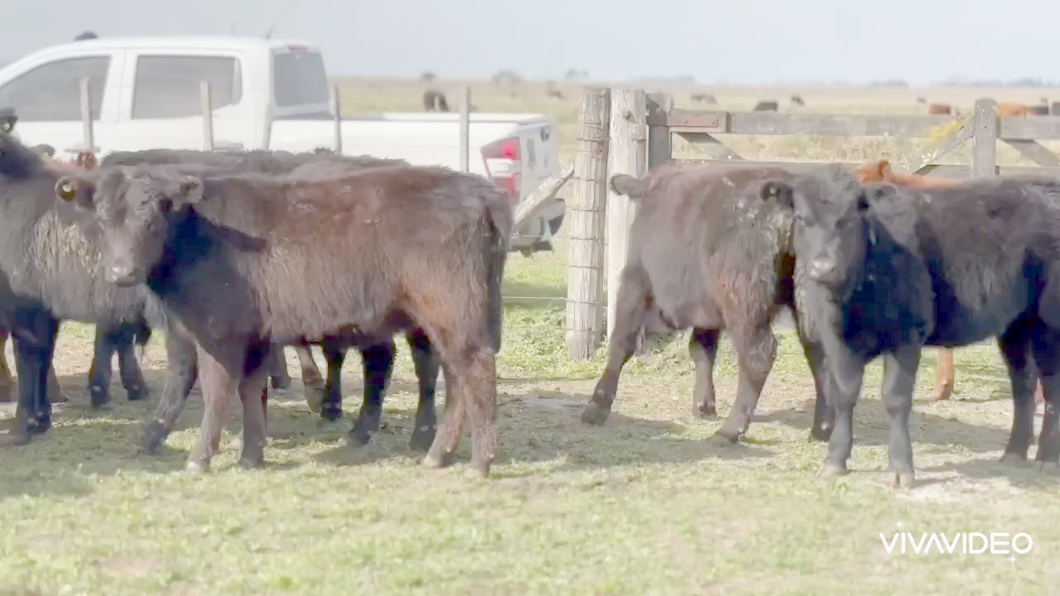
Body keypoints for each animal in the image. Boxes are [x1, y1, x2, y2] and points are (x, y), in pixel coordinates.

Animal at [58, 160, 513, 475]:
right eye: (102, 217)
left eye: (152, 217)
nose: (122, 272)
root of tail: (477, 189)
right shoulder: (255, 335)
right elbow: (251, 392)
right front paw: (251, 456)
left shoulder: (218, 333)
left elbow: (217, 391)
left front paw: (200, 458)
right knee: (455, 379)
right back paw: (439, 454)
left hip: (453, 312)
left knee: (474, 372)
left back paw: (480, 461)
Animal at [580, 162, 835, 441]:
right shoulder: (706, 310)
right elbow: (701, 350)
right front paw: (704, 405)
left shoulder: (636, 281)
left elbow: (621, 342)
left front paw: (597, 406)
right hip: (807, 305)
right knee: (821, 355)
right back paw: (821, 429)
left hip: (745, 308)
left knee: (758, 356)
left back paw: (730, 430)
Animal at [767, 164, 1060, 485]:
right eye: (801, 219)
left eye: (848, 220)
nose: (824, 268)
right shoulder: (837, 339)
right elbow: (843, 395)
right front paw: (835, 461)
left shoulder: (906, 335)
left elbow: (896, 399)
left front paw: (900, 468)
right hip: (1016, 324)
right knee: (1023, 383)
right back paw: (1014, 452)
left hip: (1049, 322)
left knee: (1052, 386)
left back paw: (1047, 457)